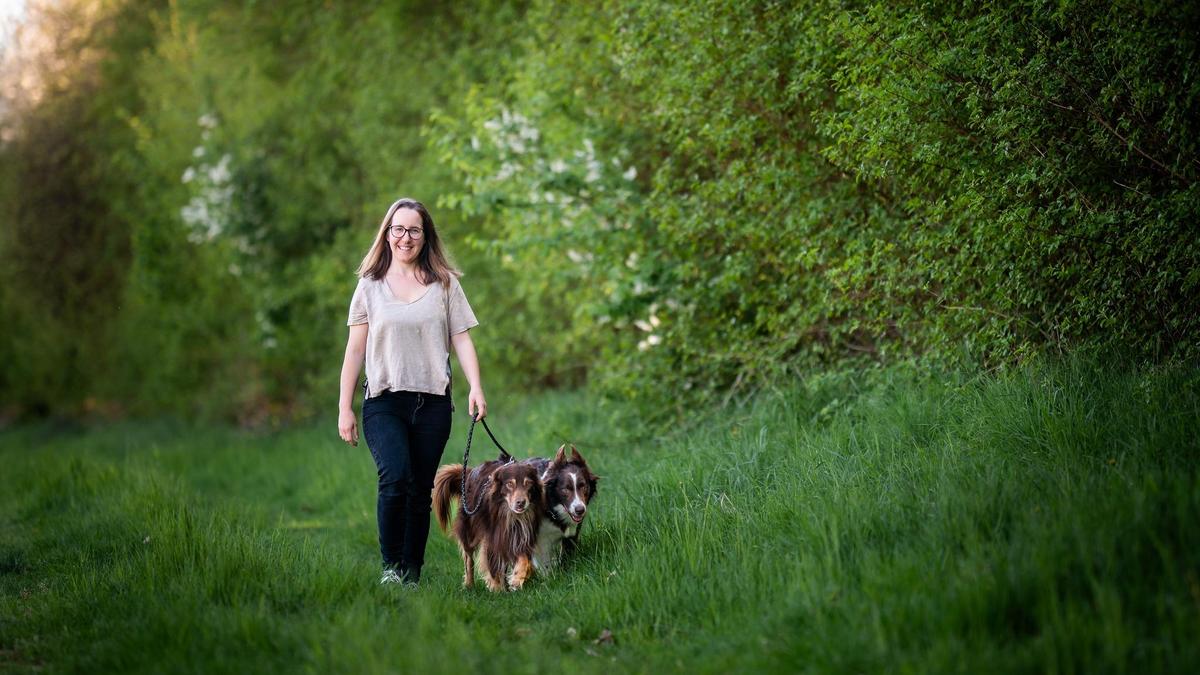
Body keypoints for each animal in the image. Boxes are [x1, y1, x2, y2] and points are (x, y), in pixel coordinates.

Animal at [432, 456, 544, 588]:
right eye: (509, 484)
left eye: (528, 484)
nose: (521, 503)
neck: (511, 515)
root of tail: (469, 473)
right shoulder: (492, 537)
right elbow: (493, 566)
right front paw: (498, 588)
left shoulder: (522, 535)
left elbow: (524, 559)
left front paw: (517, 578)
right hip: (468, 528)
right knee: (468, 557)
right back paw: (469, 585)